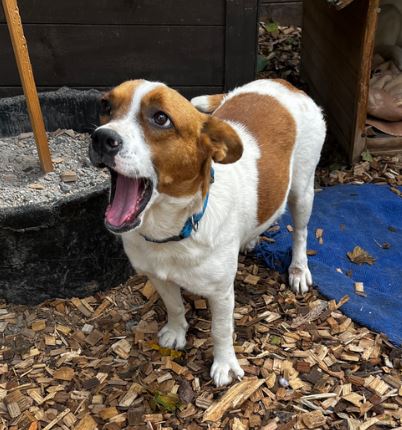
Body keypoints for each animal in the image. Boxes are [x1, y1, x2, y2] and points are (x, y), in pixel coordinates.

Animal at [89, 79, 325, 386]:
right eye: (105, 106)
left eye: (161, 118)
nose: (101, 137)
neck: (173, 231)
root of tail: (282, 82)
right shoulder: (157, 275)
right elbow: (175, 306)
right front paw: (177, 332)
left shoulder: (221, 292)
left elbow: (220, 330)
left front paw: (225, 365)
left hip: (302, 191)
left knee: (300, 232)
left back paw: (298, 269)